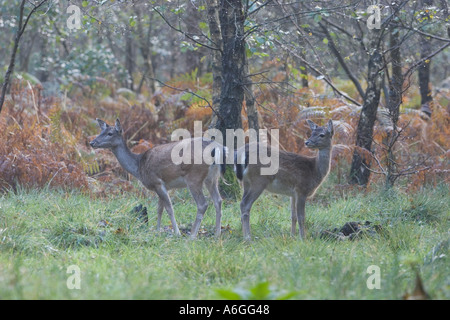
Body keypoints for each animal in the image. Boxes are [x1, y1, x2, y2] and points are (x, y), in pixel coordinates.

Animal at [89, 119, 227, 239]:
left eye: (110, 133)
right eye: (101, 131)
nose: (92, 142)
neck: (139, 167)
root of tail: (217, 148)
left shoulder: (157, 182)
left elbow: (169, 208)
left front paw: (176, 233)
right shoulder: (163, 185)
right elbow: (159, 208)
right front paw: (157, 230)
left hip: (194, 177)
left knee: (203, 204)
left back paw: (192, 236)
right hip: (212, 177)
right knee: (218, 200)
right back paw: (217, 234)